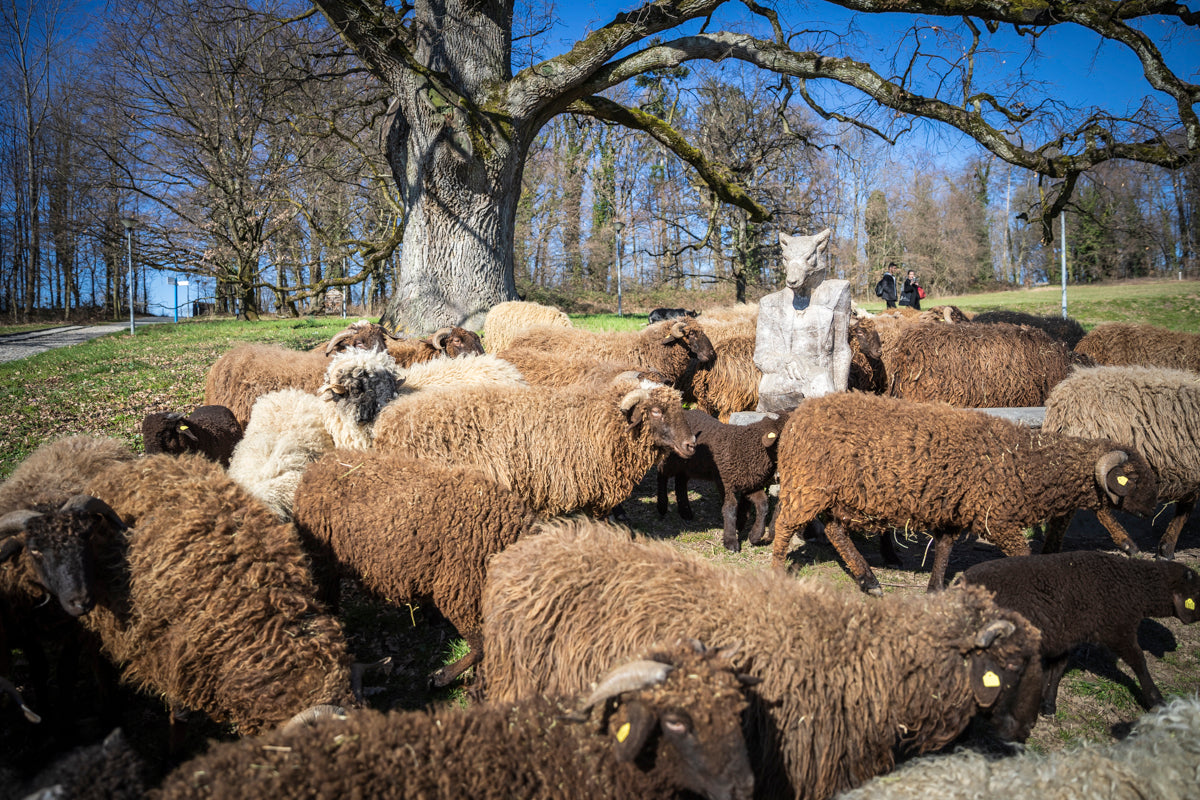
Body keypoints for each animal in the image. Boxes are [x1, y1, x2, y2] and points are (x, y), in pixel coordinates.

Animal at [291, 450, 540, 687]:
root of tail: (315, 468)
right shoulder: (462, 597)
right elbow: (481, 647)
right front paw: (440, 677)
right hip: (322, 563)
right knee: (327, 600)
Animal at [657, 408, 790, 552]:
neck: (746, 448)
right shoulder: (725, 483)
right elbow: (730, 507)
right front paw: (731, 541)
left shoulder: (750, 485)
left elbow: (763, 504)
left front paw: (754, 535)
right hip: (673, 459)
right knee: (662, 473)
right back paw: (662, 506)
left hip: (690, 465)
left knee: (680, 481)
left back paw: (685, 512)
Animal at [769, 392, 1159, 595]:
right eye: (1133, 479)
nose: (1153, 507)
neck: (1030, 462)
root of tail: (798, 416)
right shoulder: (998, 519)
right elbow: (1022, 556)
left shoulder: (955, 508)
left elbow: (944, 548)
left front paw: (935, 587)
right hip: (806, 486)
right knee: (785, 526)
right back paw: (776, 571)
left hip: (830, 493)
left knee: (835, 531)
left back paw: (869, 581)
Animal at [957, 551, 1200, 714]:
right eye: (1196, 591)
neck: (1133, 587)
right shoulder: (1118, 629)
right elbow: (1139, 662)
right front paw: (1157, 701)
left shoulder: (1064, 636)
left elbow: (1057, 669)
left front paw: (1048, 704)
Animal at [1042, 365, 1200, 558]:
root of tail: (1060, 403)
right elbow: (1186, 507)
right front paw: (1166, 549)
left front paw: (1166, 547)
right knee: (1099, 507)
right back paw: (1128, 544)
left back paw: (1051, 550)